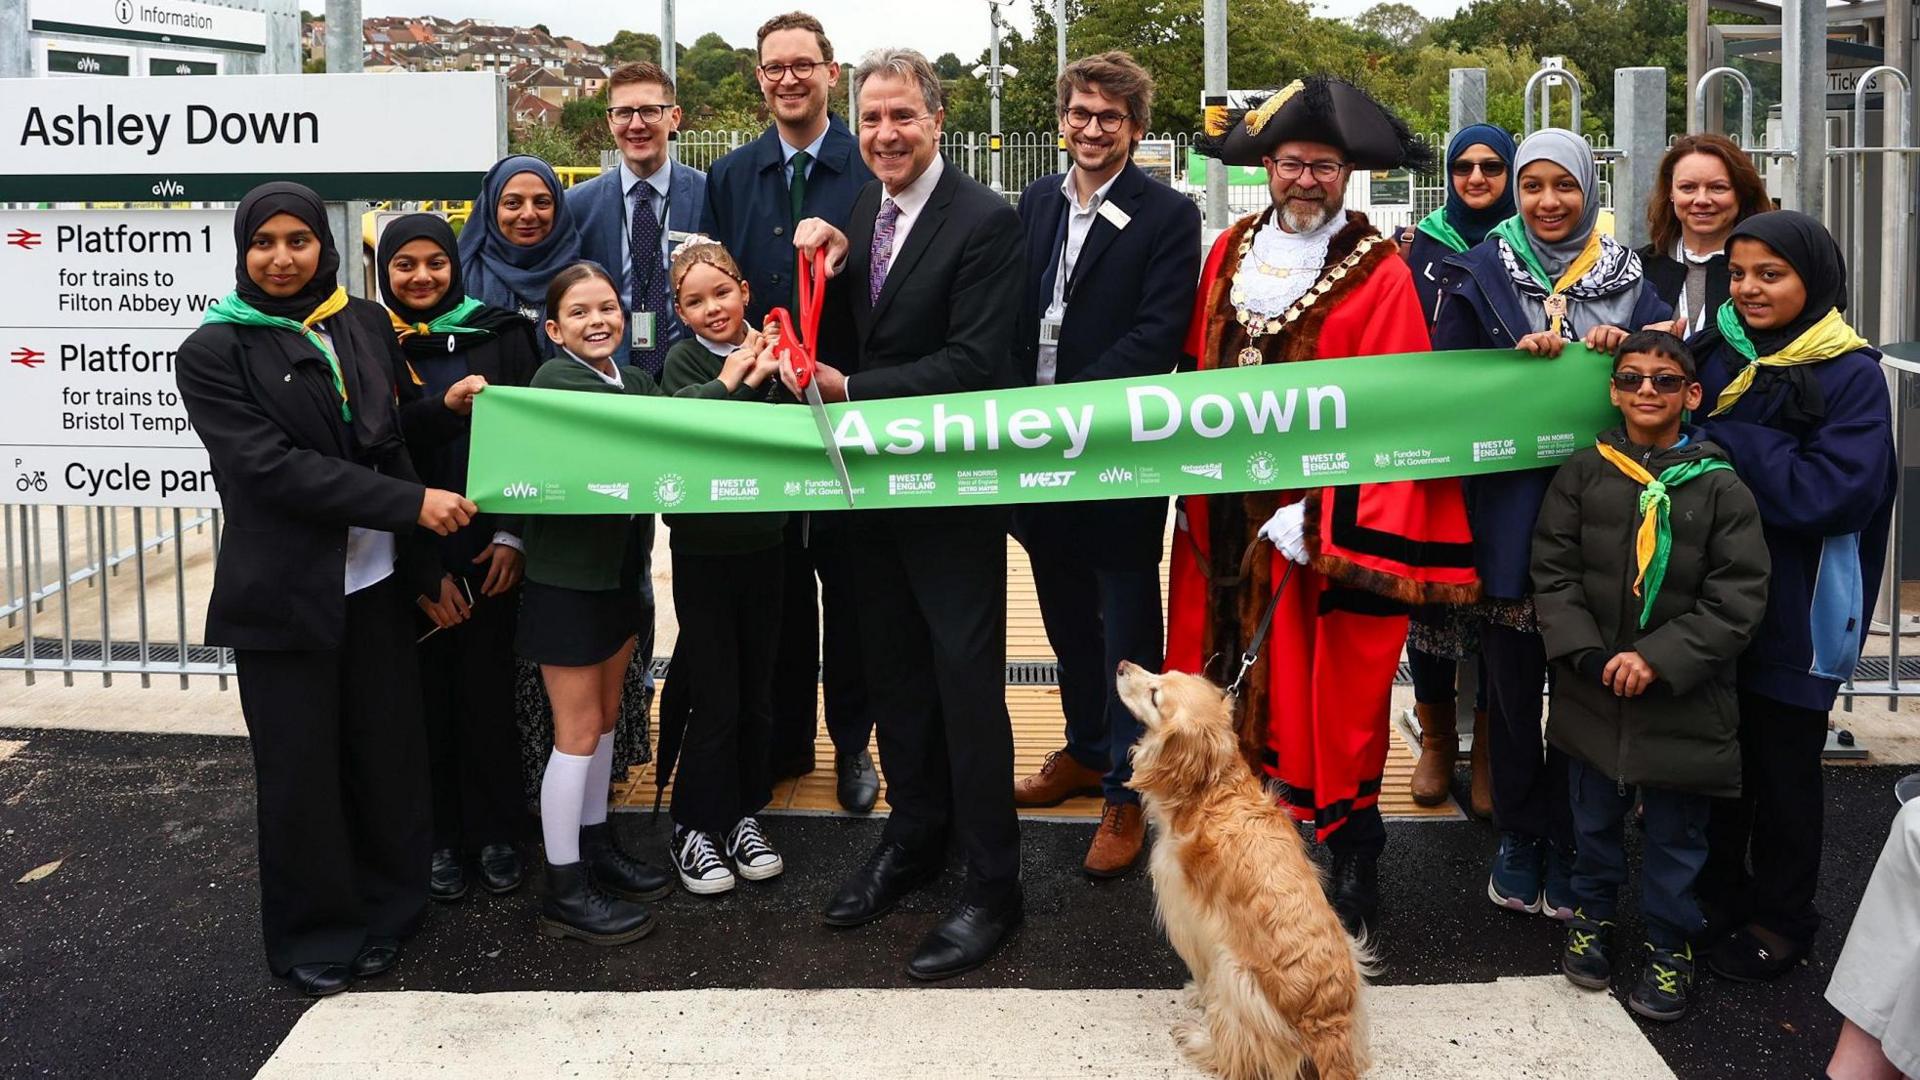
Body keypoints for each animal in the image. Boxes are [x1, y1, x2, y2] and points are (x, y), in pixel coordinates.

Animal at [1121, 661, 1374, 1076]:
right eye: (1163, 673)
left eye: (1155, 695)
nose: (1122, 665)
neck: (1214, 791)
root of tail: (1326, 1024)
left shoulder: (1190, 915)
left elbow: (1202, 971)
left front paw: (1197, 995)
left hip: (1236, 974)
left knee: (1236, 1054)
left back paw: (1197, 1038)